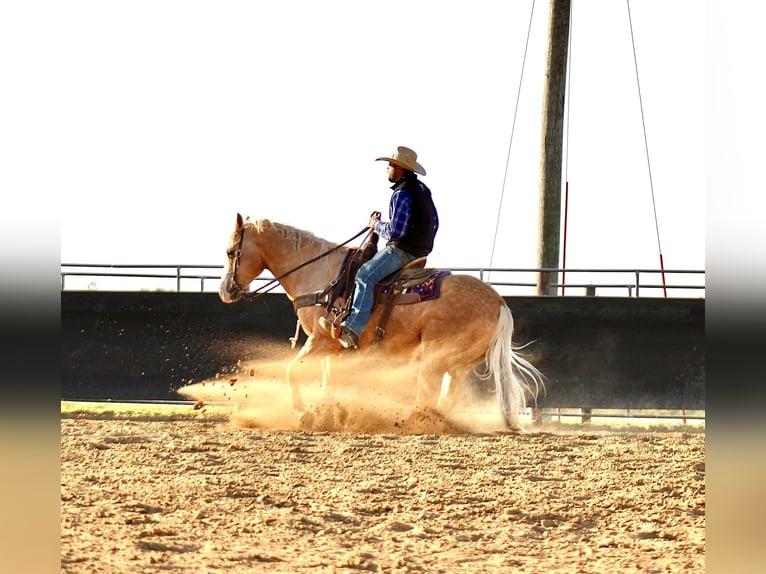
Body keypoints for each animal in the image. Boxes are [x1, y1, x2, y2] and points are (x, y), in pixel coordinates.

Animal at [218, 213, 544, 429]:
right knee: (446, 398)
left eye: (231, 251)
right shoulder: (333, 349)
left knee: (430, 395)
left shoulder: (320, 340)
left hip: (435, 358)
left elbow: (291, 370)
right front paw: (328, 415)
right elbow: (327, 381)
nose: (225, 291)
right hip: (459, 365)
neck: (322, 275)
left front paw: (303, 413)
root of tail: (499, 303)